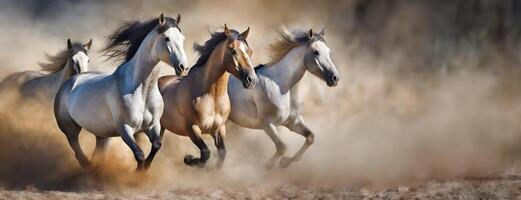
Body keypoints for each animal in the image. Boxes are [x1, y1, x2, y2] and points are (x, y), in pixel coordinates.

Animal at [53, 13, 188, 171]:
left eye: (182, 38)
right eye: (167, 38)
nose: (183, 67)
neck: (141, 90)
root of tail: (70, 81)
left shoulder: (153, 125)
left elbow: (156, 145)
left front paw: (145, 169)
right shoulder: (125, 129)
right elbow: (139, 154)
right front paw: (138, 173)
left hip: (102, 135)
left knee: (96, 154)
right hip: (70, 129)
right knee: (78, 152)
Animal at [158, 25, 256, 169]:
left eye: (250, 52)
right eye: (233, 51)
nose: (251, 80)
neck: (212, 97)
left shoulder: (219, 129)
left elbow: (222, 153)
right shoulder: (192, 129)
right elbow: (205, 152)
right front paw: (189, 159)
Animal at [226, 27, 340, 169]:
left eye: (329, 52)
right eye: (316, 52)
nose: (335, 78)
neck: (281, 85)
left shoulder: (293, 122)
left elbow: (310, 137)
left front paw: (285, 162)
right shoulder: (267, 124)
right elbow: (282, 147)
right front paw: (268, 165)